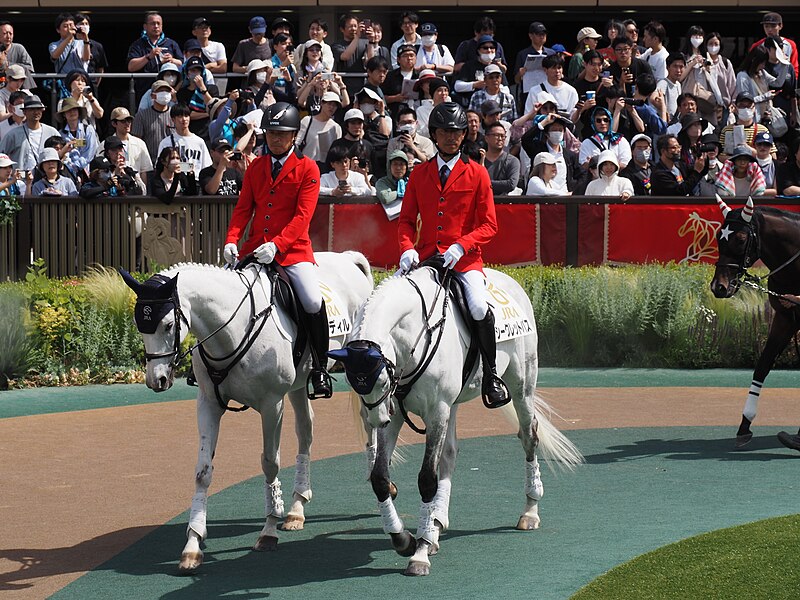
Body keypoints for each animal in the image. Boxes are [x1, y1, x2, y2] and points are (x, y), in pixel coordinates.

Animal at [119, 252, 376, 572]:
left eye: (167, 324)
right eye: (139, 325)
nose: (157, 380)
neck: (234, 327)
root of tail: (347, 258)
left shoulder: (271, 405)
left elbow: (270, 464)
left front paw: (268, 530)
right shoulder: (208, 404)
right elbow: (202, 472)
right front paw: (193, 544)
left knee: (370, 424)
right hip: (298, 385)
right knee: (305, 431)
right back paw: (296, 508)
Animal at [328, 264, 584, 576]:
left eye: (380, 379)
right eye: (354, 383)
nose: (379, 421)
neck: (417, 332)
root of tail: (509, 281)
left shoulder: (436, 410)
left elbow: (427, 479)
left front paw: (420, 554)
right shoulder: (401, 411)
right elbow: (380, 478)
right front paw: (404, 538)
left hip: (522, 385)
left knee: (529, 436)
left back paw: (530, 510)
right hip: (454, 405)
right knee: (450, 454)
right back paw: (436, 524)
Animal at [708, 197, 800, 450]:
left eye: (741, 239)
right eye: (718, 236)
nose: (719, 287)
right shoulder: (785, 318)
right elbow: (763, 364)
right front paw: (744, 425)